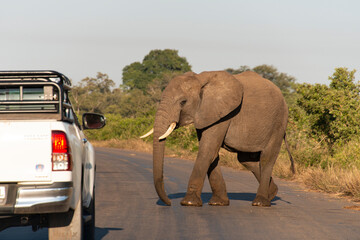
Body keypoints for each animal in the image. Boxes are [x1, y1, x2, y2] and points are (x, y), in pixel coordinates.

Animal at [139, 70, 294, 207]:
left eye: (183, 102)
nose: (169, 203)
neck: (200, 79)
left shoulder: (223, 113)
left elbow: (207, 151)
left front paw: (189, 202)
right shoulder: (205, 114)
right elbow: (212, 154)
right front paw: (218, 203)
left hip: (279, 122)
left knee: (266, 159)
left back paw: (261, 202)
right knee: (246, 160)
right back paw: (272, 193)